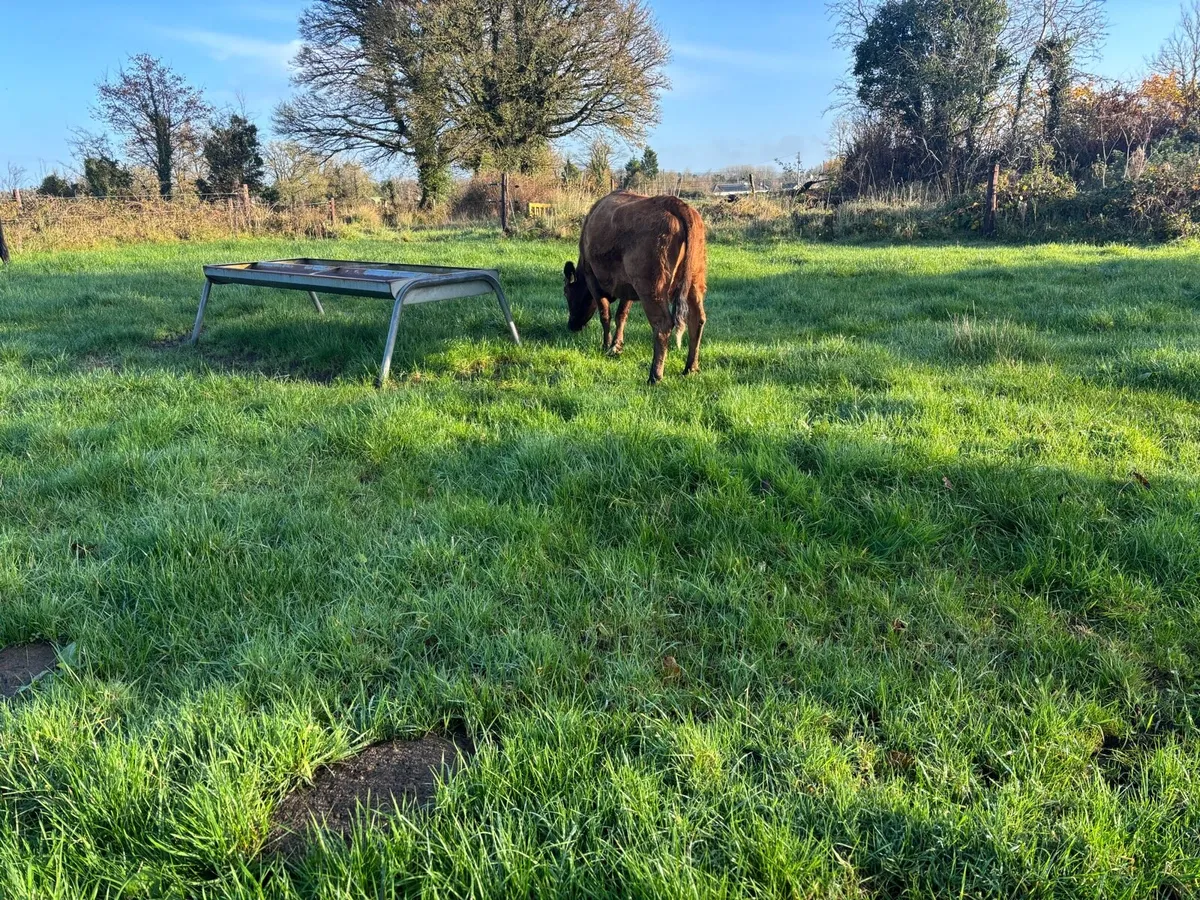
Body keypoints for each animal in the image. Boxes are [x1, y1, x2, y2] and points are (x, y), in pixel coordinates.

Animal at [563, 191, 707, 384]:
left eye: (566, 294)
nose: (572, 326)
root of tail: (674, 202)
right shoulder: (628, 286)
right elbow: (621, 315)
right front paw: (616, 346)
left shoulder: (592, 277)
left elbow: (605, 315)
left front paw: (606, 345)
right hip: (695, 280)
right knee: (697, 318)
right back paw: (691, 368)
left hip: (651, 286)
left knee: (663, 324)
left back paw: (655, 375)